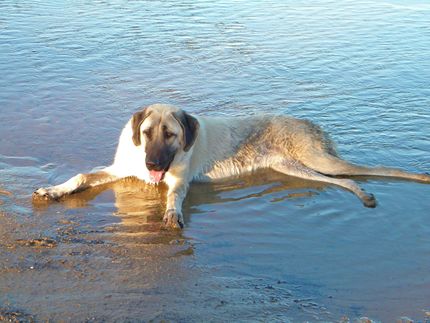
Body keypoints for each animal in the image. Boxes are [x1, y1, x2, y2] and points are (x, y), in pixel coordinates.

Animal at [34, 104, 430, 228]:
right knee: (342, 180)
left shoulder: (178, 181)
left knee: (368, 171)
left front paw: (172, 214)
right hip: (294, 167)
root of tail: (308, 122)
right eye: (146, 133)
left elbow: (174, 197)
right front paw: (54, 190)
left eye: (171, 134)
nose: (152, 163)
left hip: (320, 159)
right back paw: (365, 195)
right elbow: (83, 174)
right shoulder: (121, 169)